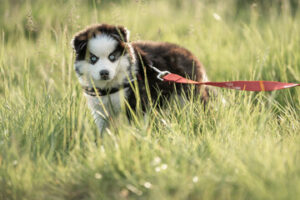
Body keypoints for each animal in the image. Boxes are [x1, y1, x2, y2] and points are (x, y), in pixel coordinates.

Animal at [71, 23, 210, 133]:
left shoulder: (137, 101)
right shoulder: (99, 110)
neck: (109, 88)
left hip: (190, 96)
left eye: (112, 57)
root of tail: (192, 56)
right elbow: (104, 131)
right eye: (93, 58)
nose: (104, 73)